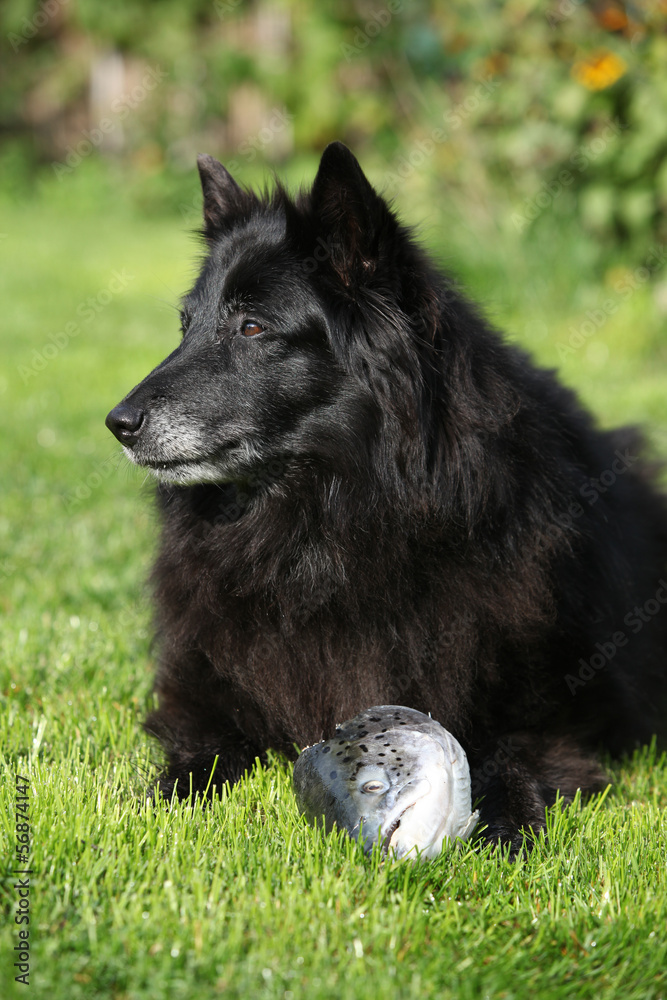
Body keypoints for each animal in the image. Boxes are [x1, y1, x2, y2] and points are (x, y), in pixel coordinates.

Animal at [107, 145, 667, 848]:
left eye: (252, 326)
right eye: (185, 326)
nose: (117, 423)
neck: (326, 522)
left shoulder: (548, 716)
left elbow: (511, 753)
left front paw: (507, 826)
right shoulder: (203, 692)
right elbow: (194, 760)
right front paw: (156, 808)